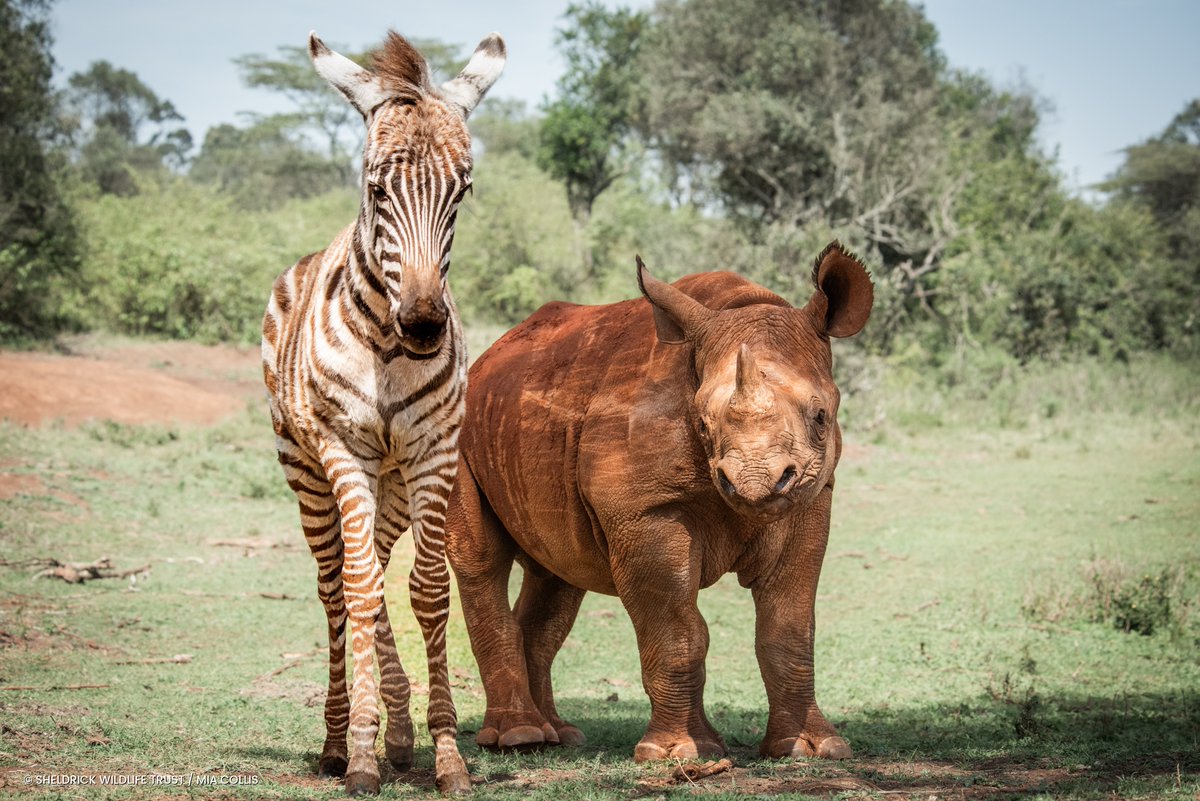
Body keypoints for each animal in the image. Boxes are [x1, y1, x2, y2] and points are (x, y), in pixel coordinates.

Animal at [261, 29, 504, 796]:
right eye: (375, 187)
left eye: (463, 189)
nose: (424, 325)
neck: (390, 347)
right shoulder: (345, 451)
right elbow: (360, 588)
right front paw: (361, 755)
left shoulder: (435, 453)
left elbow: (425, 591)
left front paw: (444, 752)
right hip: (308, 472)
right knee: (337, 585)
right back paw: (340, 741)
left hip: (392, 485)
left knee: (371, 567)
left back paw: (396, 735)